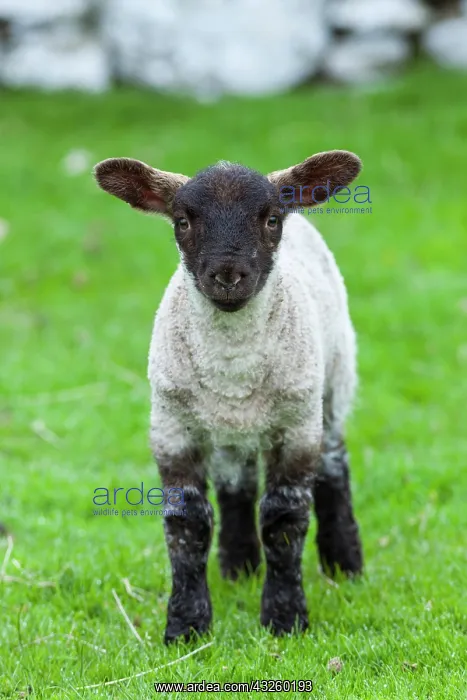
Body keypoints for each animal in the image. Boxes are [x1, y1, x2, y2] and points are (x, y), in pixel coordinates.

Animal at [94, 150, 364, 643]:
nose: (228, 275)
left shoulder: (296, 428)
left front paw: (285, 619)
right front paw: (186, 626)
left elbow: (284, 520)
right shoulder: (172, 427)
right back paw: (239, 566)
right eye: (182, 221)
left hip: (333, 383)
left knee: (335, 464)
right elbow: (186, 524)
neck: (233, 366)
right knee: (236, 480)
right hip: (223, 425)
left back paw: (344, 563)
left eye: (271, 219)